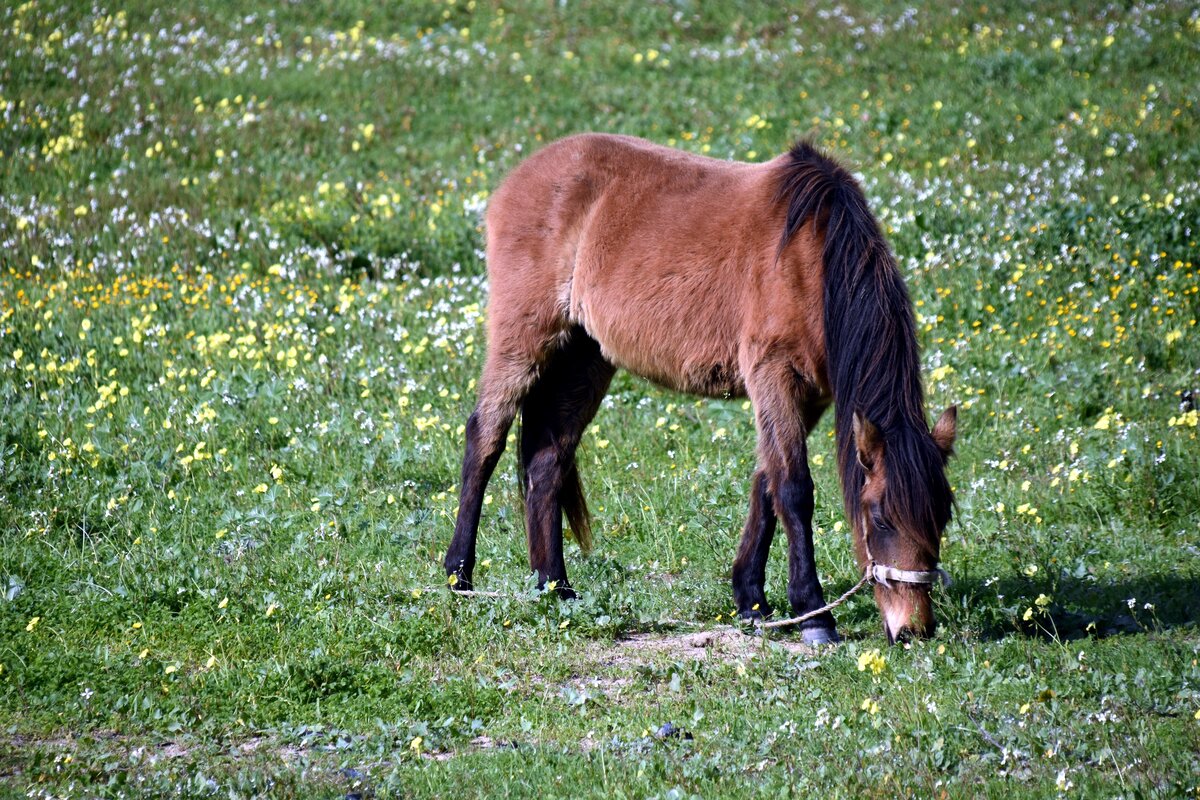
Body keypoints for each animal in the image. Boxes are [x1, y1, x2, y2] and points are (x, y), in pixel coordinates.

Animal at [441, 133, 955, 642]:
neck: (812, 259)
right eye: (881, 516)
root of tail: (517, 179)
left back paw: (555, 588)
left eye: (942, 517)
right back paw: (460, 576)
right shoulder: (775, 377)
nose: (914, 629)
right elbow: (794, 490)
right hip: (523, 338)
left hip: (583, 358)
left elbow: (766, 484)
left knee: (547, 461)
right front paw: (814, 615)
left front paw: (751, 602)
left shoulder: (809, 397)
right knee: (485, 437)